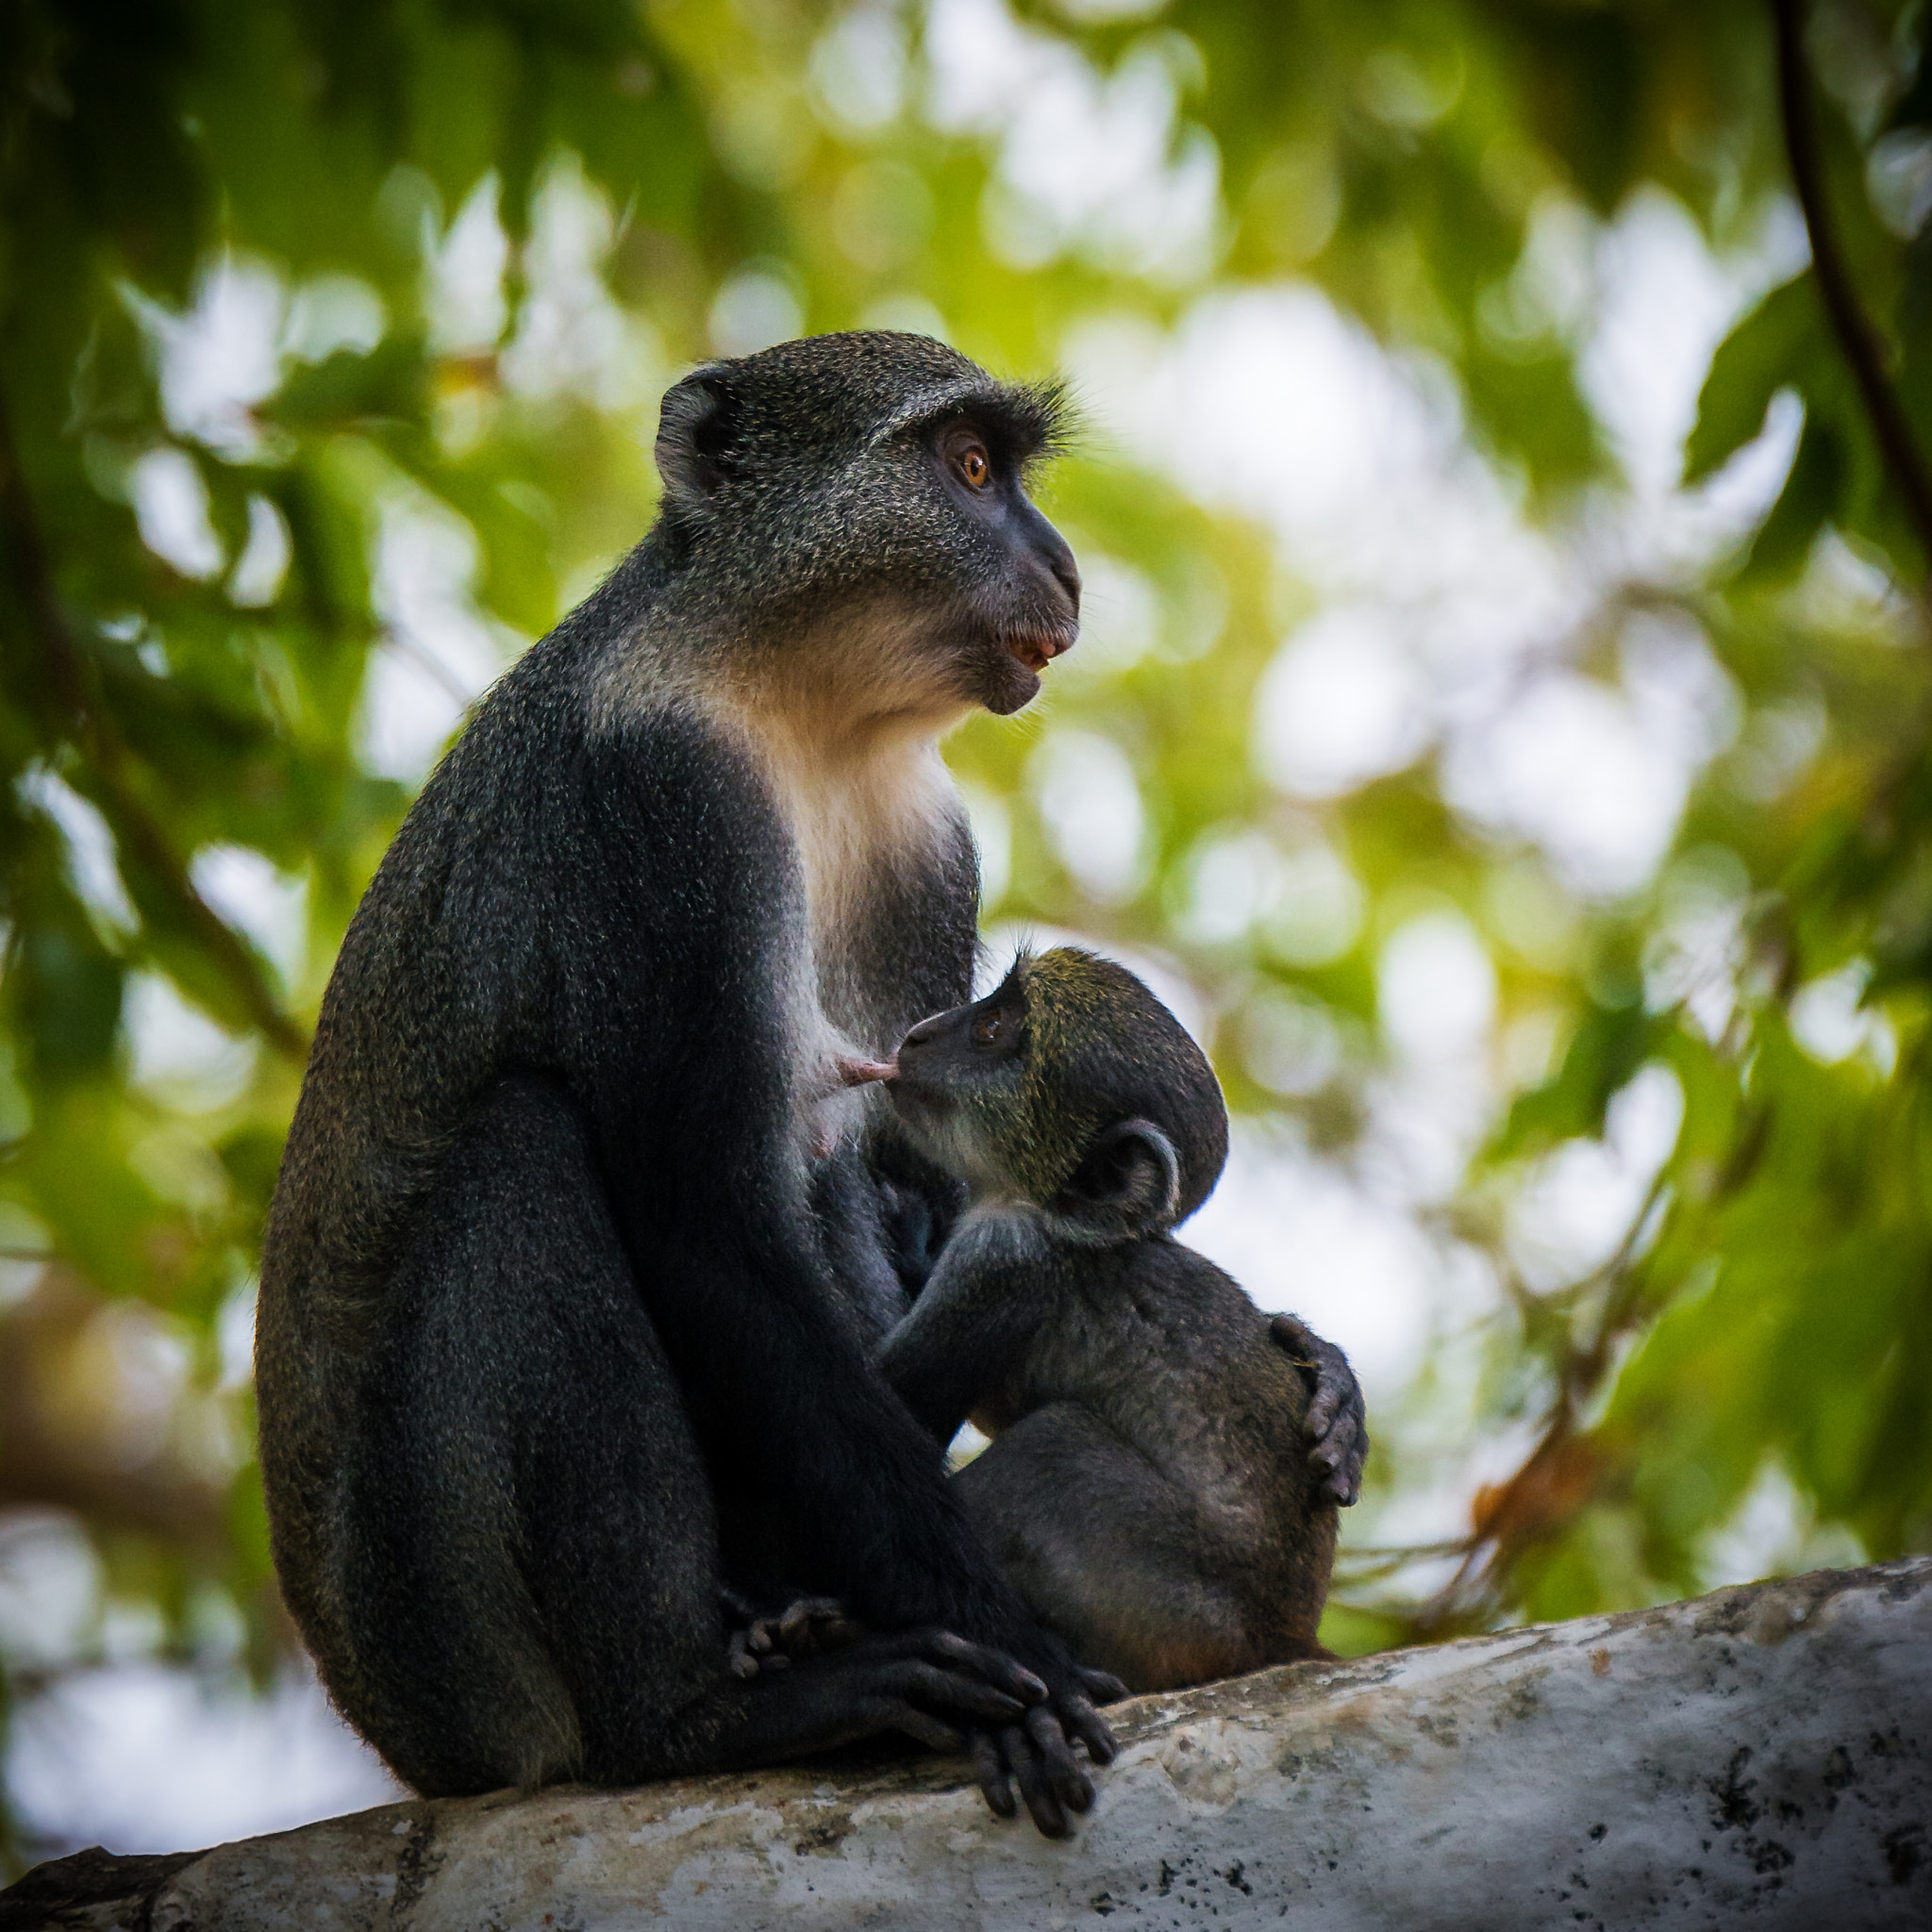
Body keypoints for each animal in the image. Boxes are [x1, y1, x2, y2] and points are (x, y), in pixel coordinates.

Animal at [861, 946, 1344, 1692]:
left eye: (994, 1028)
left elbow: (895, 1415)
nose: (917, 1036)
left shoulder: (1001, 1259)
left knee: (1052, 1449)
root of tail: (1282, 1639)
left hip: (1172, 1604)